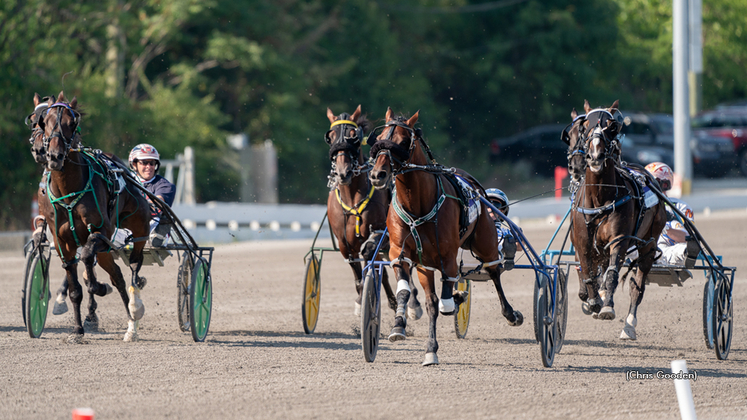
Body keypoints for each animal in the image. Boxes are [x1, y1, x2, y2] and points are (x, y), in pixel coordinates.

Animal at [38, 91, 152, 342]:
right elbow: (75, 288)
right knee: (117, 275)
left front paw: (97, 287)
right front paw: (78, 330)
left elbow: (88, 257)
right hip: (107, 250)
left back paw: (134, 310)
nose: (54, 156)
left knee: (134, 264)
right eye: (45, 121)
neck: (69, 189)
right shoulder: (62, 242)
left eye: (72, 123)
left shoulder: (102, 231)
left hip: (139, 225)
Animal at [326, 106, 420, 320]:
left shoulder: (381, 234)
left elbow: (374, 258)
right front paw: (362, 301)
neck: (352, 198)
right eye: (331, 136)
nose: (343, 173)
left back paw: (412, 302)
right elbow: (359, 275)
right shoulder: (344, 245)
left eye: (353, 136)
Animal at [370, 108, 524, 364]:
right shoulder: (403, 255)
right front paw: (400, 328)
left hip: (485, 242)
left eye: (401, 142)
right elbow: (413, 294)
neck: (418, 204)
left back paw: (510, 314)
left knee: (494, 270)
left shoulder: (448, 257)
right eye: (379, 137)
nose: (377, 175)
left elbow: (445, 303)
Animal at [572, 100, 668, 340]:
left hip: (649, 244)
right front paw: (594, 301)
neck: (599, 199)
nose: (595, 156)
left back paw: (629, 324)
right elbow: (587, 271)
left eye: (611, 126)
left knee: (637, 285)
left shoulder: (619, 239)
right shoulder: (583, 240)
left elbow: (612, 275)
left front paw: (606, 306)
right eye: (585, 125)